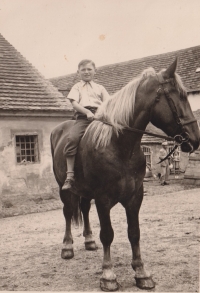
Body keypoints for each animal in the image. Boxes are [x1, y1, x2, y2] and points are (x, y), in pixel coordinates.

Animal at [50, 58, 200, 290]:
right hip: (63, 188)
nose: (195, 139)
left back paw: (88, 240)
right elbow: (107, 234)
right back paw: (67, 247)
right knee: (67, 212)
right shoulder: (103, 199)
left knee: (84, 209)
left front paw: (141, 272)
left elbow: (134, 233)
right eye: (179, 97)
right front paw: (108, 275)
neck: (119, 146)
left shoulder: (134, 197)